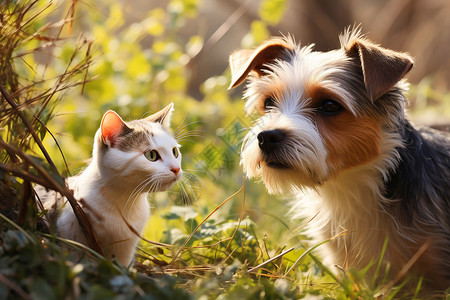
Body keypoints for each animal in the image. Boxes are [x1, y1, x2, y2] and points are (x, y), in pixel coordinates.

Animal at [36, 103, 182, 264]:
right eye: (151, 155)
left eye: (175, 152)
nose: (176, 169)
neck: (122, 200)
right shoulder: (71, 238)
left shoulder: (124, 251)